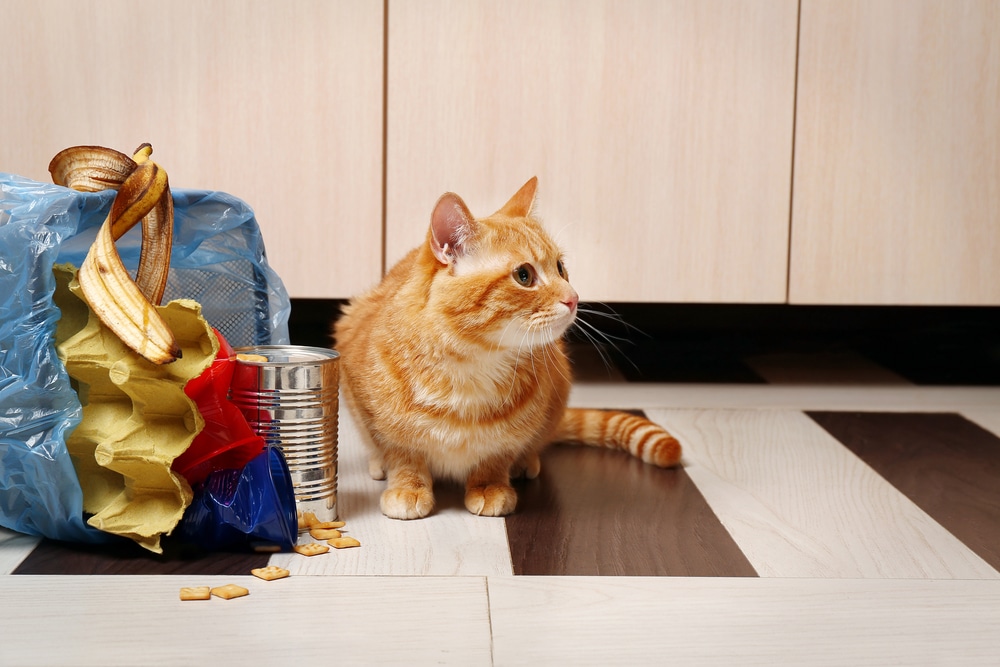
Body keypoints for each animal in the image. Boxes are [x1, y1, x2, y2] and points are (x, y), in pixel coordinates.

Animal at [334, 177, 680, 520]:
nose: (573, 298)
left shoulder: (515, 431)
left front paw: (490, 485)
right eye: (524, 276)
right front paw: (408, 485)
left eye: (560, 267)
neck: (472, 364)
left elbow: (496, 454)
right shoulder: (379, 420)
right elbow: (404, 454)